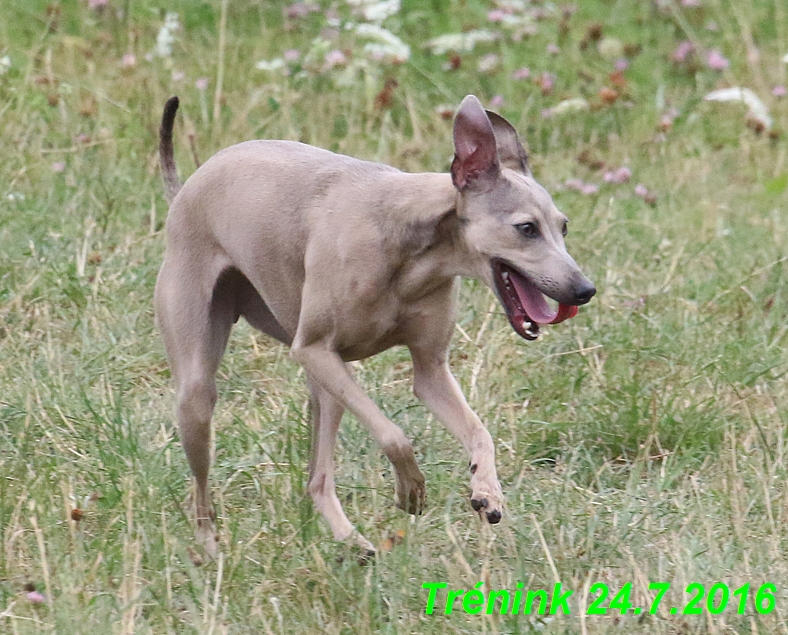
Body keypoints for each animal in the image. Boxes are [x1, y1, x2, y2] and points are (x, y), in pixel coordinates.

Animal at [154, 94, 596, 556]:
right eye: (526, 228)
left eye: (564, 227)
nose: (584, 290)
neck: (416, 251)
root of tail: (186, 188)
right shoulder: (313, 349)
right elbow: (394, 435)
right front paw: (411, 490)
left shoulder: (429, 371)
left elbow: (480, 432)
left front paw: (486, 491)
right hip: (204, 391)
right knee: (200, 494)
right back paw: (211, 551)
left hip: (323, 390)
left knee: (317, 479)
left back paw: (352, 541)